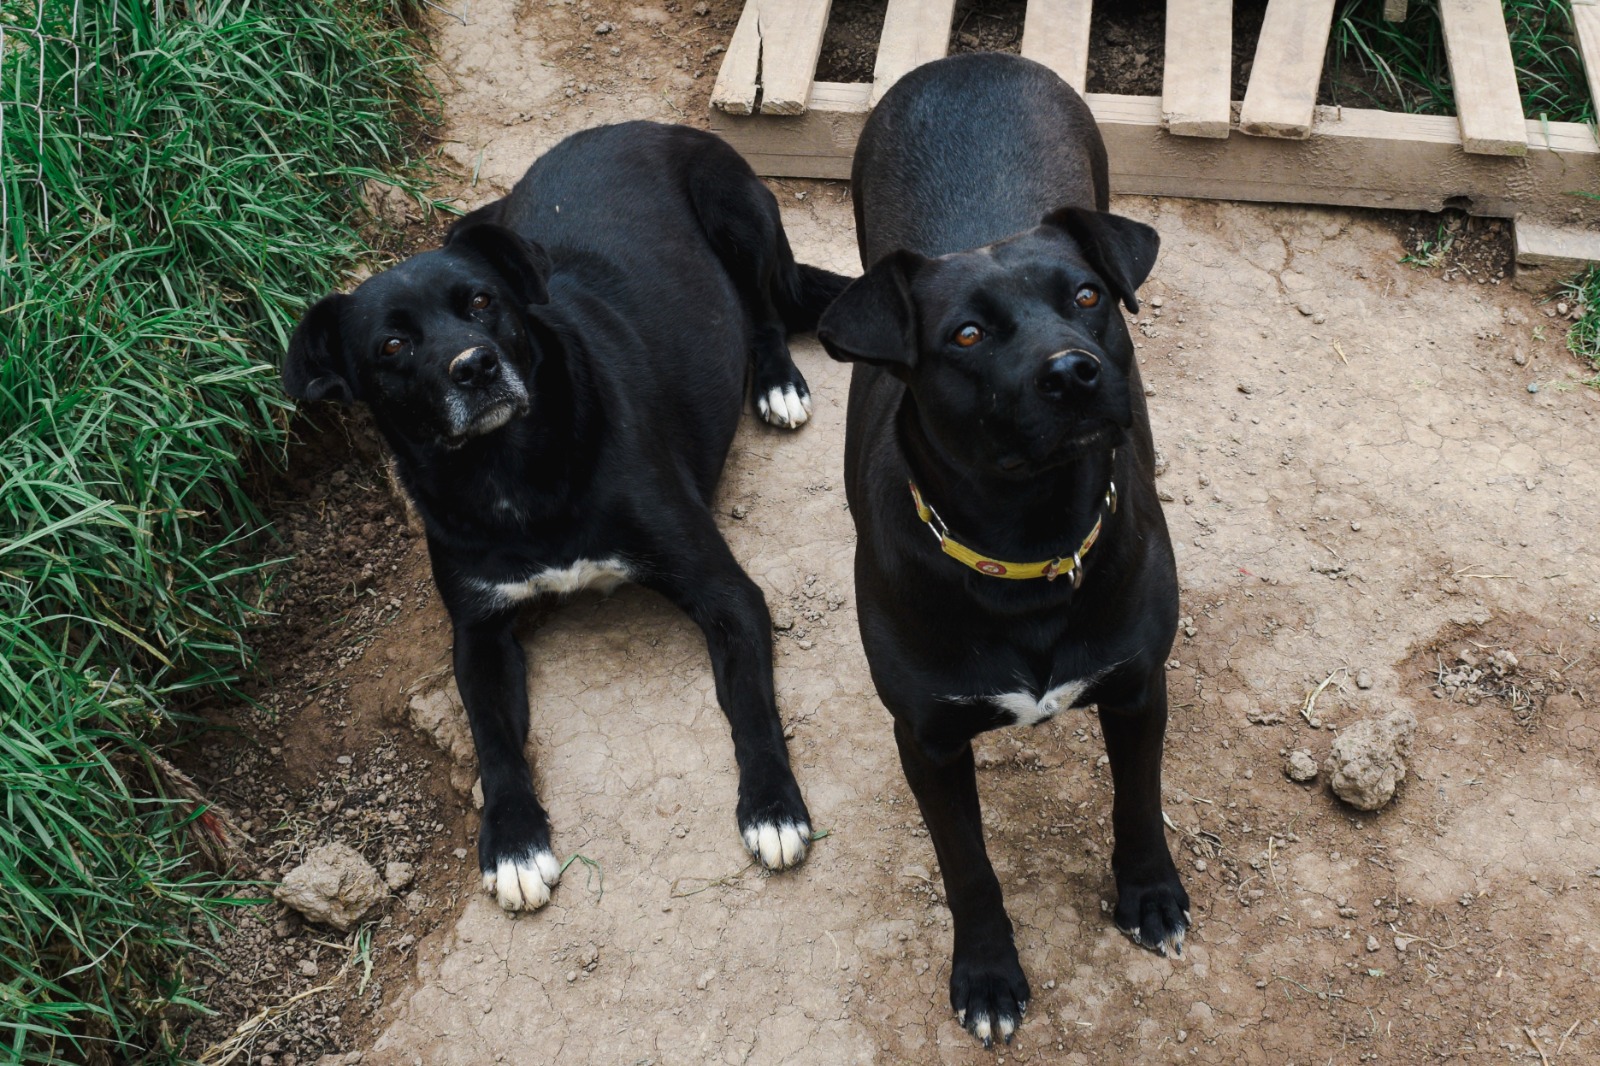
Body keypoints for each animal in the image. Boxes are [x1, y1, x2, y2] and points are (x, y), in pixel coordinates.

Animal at [283, 122, 851, 902]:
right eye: (392, 345)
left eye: (481, 302)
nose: (475, 366)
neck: (513, 469)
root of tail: (641, 126)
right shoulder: (478, 633)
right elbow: (493, 744)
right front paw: (515, 845)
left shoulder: (725, 591)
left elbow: (751, 707)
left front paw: (772, 808)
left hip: (739, 212)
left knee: (763, 309)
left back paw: (776, 383)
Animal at [825, 54, 1190, 1043]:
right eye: (968, 334)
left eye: (1088, 298)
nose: (1074, 371)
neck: (1032, 542)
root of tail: (969, 60)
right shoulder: (928, 739)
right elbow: (969, 871)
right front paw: (987, 975)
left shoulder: (1137, 686)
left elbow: (1138, 803)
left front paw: (1151, 895)